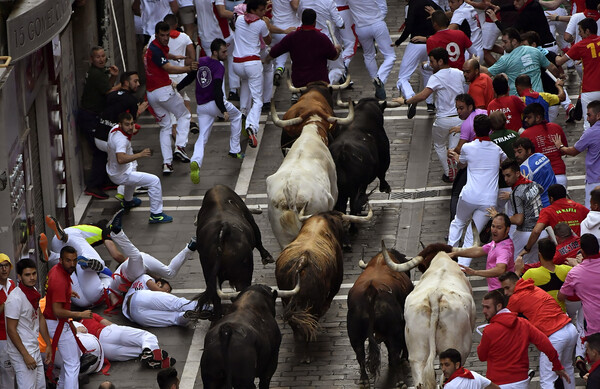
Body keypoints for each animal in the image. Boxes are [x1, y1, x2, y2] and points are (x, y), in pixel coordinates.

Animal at [193, 183, 274, 316]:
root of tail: (224, 229)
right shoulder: (251, 220)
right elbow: (258, 239)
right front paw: (267, 257)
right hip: (243, 276)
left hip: (208, 273)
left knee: (216, 300)